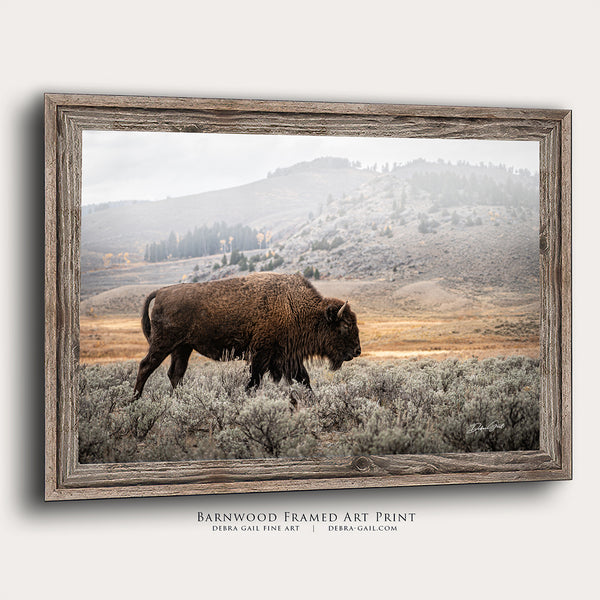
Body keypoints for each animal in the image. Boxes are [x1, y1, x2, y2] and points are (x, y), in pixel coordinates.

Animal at [132, 274, 360, 398]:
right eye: (346, 325)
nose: (357, 351)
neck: (294, 306)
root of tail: (161, 291)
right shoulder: (261, 355)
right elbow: (254, 382)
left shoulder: (289, 357)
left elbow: (304, 380)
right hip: (163, 343)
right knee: (146, 366)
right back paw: (135, 400)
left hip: (183, 347)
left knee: (175, 373)